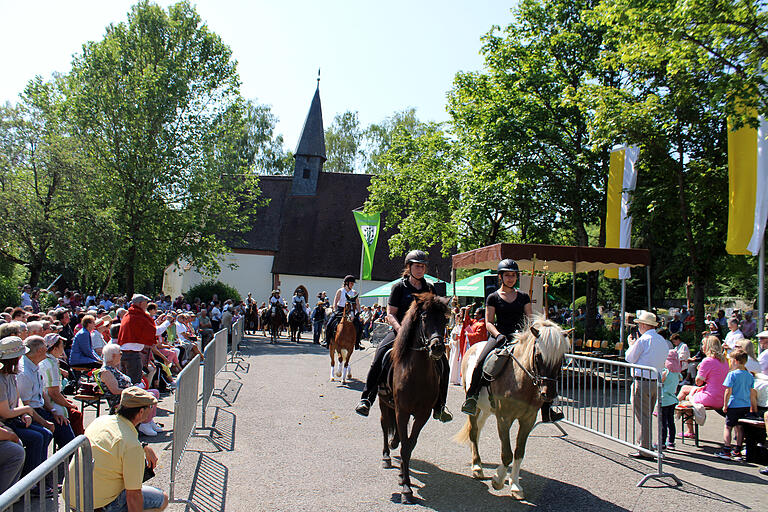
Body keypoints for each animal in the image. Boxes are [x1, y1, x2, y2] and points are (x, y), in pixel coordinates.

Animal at [378, 292, 450, 504]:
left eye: (445, 319)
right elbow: (404, 445)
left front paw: (404, 478)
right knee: (384, 425)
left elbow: (409, 445)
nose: (437, 347)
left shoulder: (422, 414)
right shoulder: (401, 411)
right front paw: (406, 489)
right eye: (424, 318)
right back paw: (386, 456)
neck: (416, 374)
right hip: (383, 404)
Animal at [450, 316, 568, 500]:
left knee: (478, 429)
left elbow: (519, 452)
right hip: (474, 405)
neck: (521, 380)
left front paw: (515, 486)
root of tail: (475, 346)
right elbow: (507, 453)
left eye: (561, 358)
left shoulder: (528, 420)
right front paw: (498, 480)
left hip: (487, 408)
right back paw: (477, 467)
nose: (548, 394)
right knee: (474, 431)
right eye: (538, 356)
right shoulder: (504, 419)